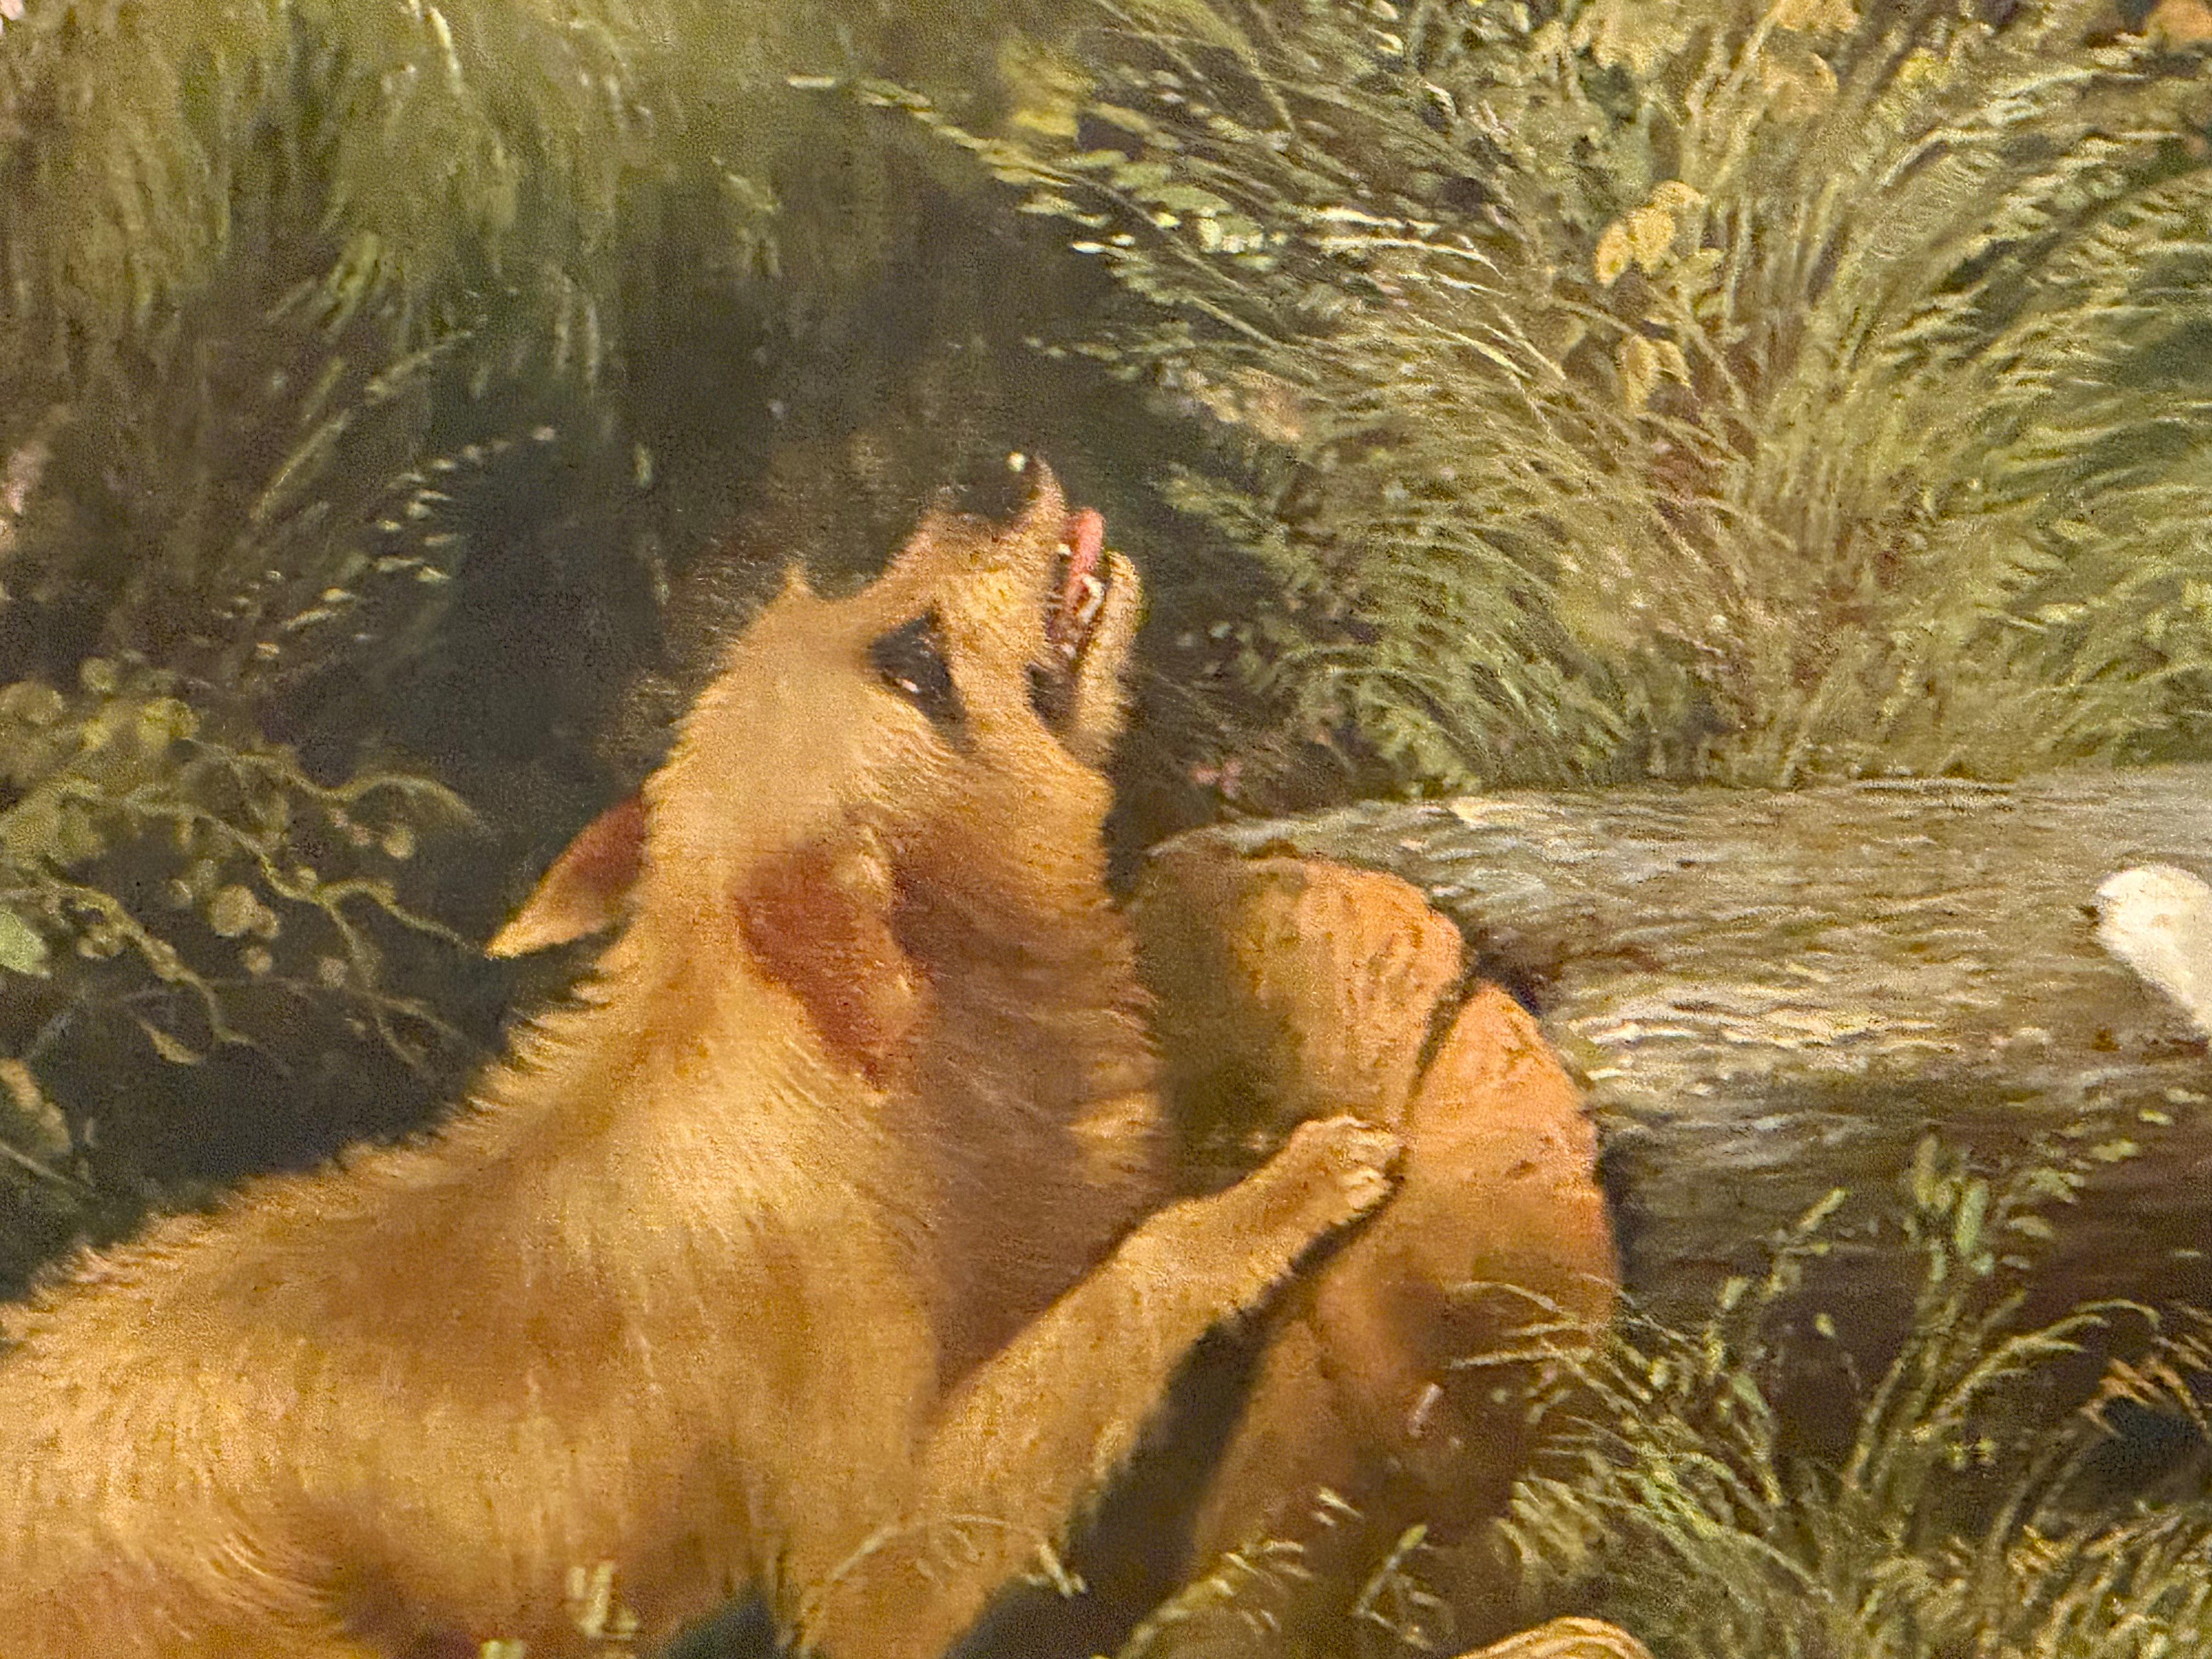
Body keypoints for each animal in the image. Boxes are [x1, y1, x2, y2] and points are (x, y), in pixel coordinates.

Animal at [0, 466, 1399, 1659]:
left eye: (837, 599)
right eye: (916, 667)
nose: (981, 479)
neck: (854, 1060)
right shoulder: (873, 1560)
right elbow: (1126, 1288)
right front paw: (1291, 1185)